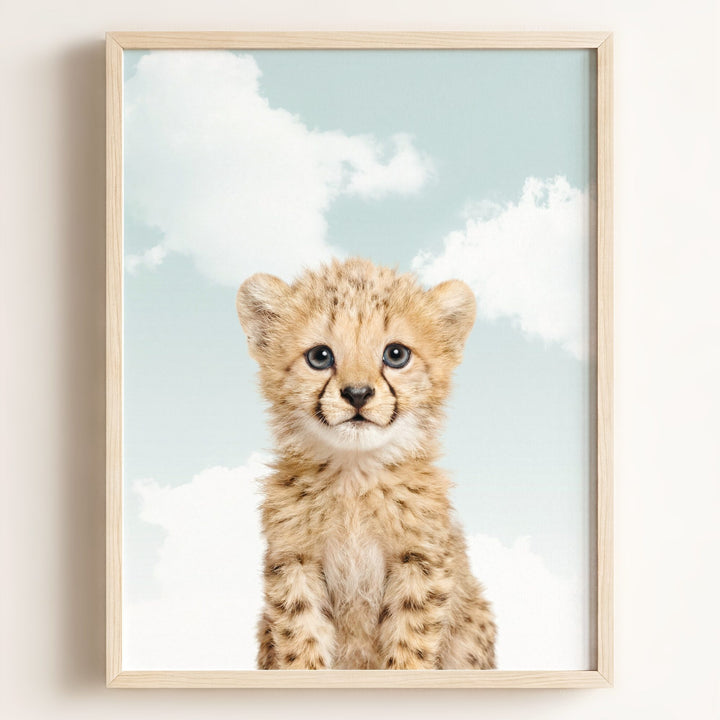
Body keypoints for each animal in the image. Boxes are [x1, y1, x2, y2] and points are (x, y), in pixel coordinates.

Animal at [236, 257, 496, 670]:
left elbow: (410, 641)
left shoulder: (420, 561)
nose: (357, 394)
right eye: (320, 356)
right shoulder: (295, 561)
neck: (354, 475)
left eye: (396, 355)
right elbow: (301, 637)